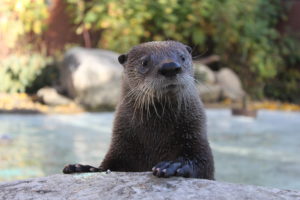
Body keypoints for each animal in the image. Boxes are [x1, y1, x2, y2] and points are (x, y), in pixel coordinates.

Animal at [62, 41, 213, 180]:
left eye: (182, 57)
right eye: (144, 62)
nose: (170, 67)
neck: (156, 135)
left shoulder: (195, 136)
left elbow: (203, 163)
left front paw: (174, 165)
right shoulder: (121, 144)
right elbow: (108, 166)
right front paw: (82, 168)